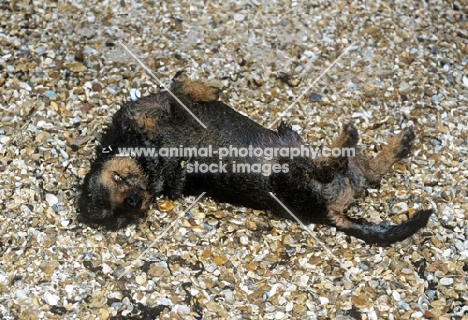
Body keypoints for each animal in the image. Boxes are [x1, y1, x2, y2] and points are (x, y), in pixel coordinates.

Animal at [77, 77, 432, 245]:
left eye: (117, 181)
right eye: (119, 213)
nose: (136, 202)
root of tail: (327, 212)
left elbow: (182, 86)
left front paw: (207, 87)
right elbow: (182, 89)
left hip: (348, 172)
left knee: (369, 171)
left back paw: (396, 146)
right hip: (290, 177)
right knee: (325, 167)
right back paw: (349, 139)